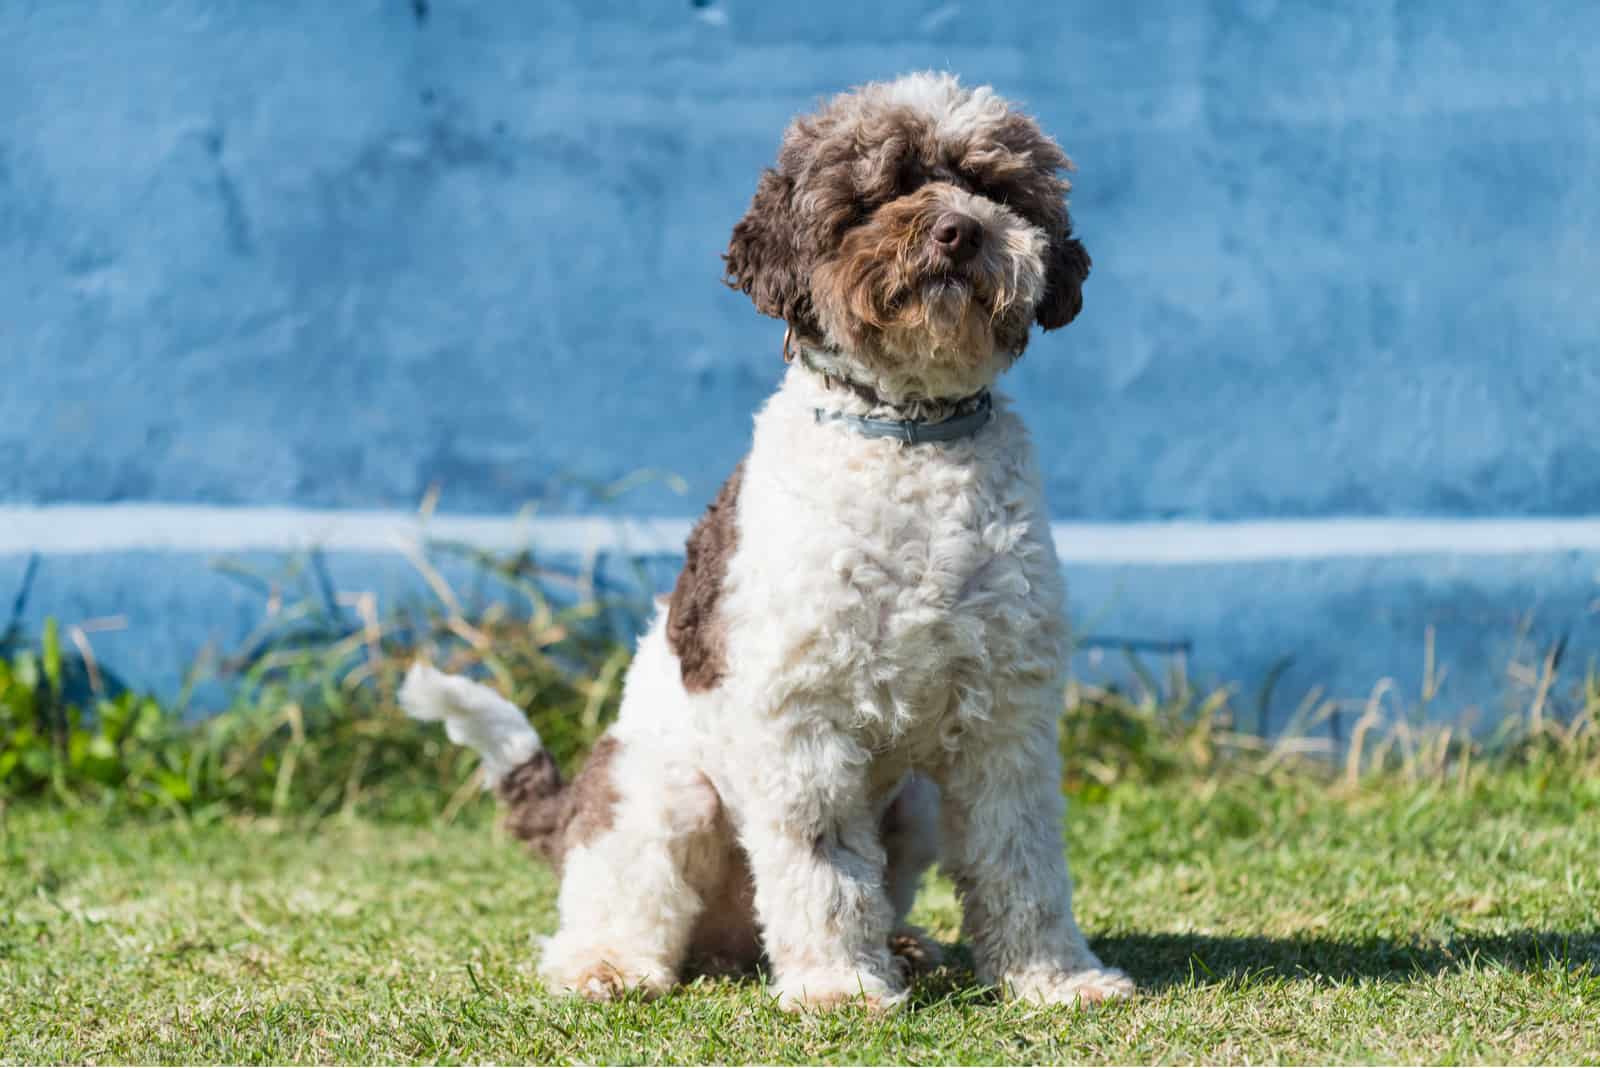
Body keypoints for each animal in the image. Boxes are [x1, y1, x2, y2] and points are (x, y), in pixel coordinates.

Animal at [400, 73, 1132, 1010]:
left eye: (994, 187)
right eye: (877, 193)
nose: (959, 230)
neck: (908, 436)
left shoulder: (1007, 717)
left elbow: (1022, 859)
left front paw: (1055, 979)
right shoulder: (803, 719)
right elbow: (823, 865)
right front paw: (840, 987)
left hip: (916, 805)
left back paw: (901, 946)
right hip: (663, 794)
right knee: (613, 907)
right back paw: (608, 965)